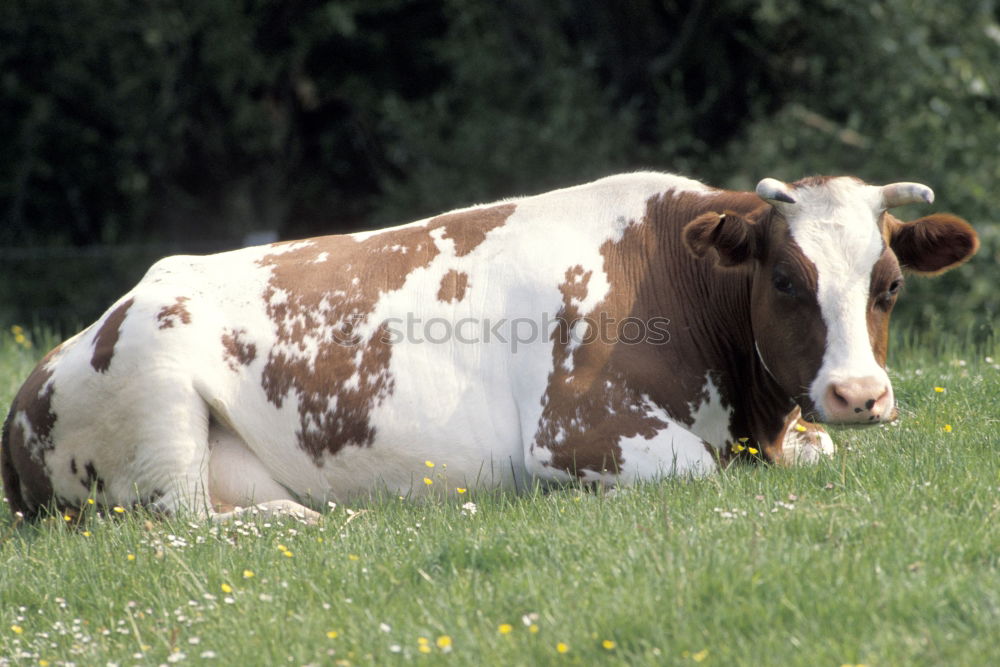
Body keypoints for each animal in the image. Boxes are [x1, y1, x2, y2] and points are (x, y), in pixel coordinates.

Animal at [0, 172, 980, 520]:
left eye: (890, 284)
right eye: (784, 279)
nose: (859, 394)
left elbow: (816, 453)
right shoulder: (576, 433)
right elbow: (697, 471)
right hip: (156, 387)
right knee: (182, 518)